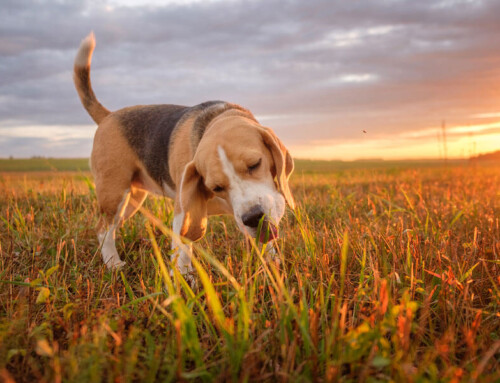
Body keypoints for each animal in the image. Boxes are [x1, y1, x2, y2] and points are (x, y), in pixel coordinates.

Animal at [72, 33, 294, 278]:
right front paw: (185, 281)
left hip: (132, 200)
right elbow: (183, 252)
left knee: (111, 227)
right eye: (216, 187)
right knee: (103, 229)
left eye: (255, 164)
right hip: (114, 192)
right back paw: (113, 263)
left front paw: (273, 268)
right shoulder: (183, 211)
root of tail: (109, 116)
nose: (254, 217)